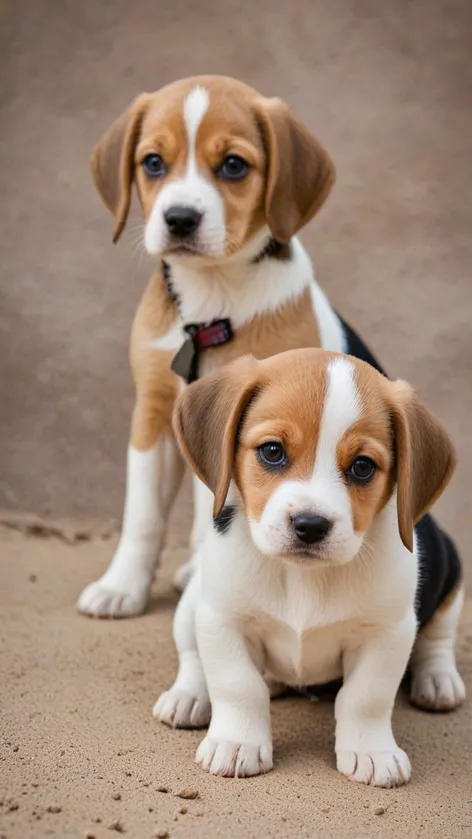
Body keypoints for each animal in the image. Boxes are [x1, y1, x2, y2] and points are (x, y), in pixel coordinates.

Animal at [155, 348, 464, 788]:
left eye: (363, 467)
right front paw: (237, 742)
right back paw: (189, 697)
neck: (302, 576)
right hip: (193, 603)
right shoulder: (223, 618)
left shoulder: (387, 632)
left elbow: (366, 698)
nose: (310, 525)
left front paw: (372, 752)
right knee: (193, 656)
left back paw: (438, 680)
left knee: (438, 639)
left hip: (452, 575)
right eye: (272, 451)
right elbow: (237, 684)